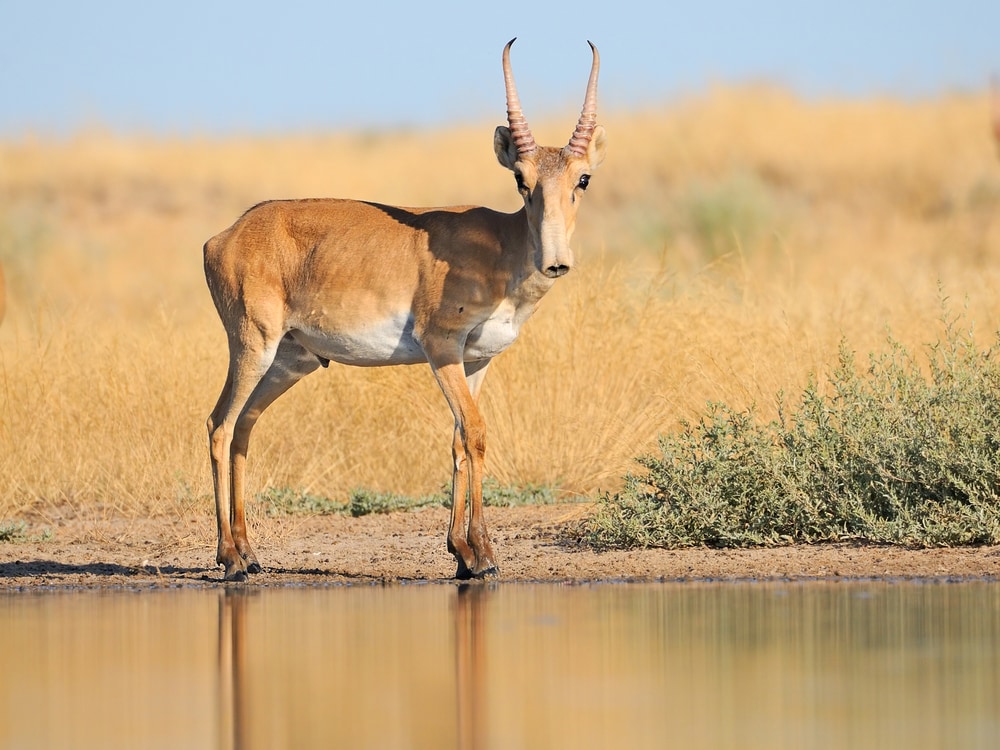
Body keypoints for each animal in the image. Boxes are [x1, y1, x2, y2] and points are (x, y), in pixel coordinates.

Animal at [204, 39, 607, 582]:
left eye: (582, 178)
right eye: (521, 180)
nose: (556, 261)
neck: (501, 246)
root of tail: (223, 237)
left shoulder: (477, 360)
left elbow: (459, 440)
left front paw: (461, 553)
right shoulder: (442, 349)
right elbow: (476, 432)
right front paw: (483, 555)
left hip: (290, 361)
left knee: (244, 426)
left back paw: (250, 552)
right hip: (251, 347)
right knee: (219, 425)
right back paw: (229, 559)